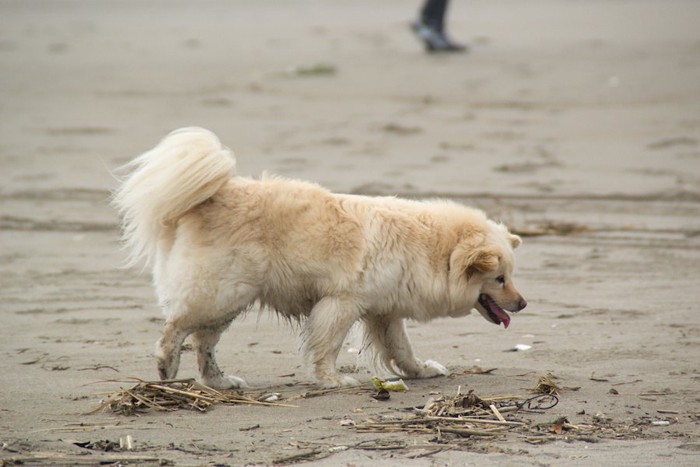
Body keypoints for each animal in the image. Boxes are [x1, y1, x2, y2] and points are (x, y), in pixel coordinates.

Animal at [113, 128, 524, 392]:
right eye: (500, 279)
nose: (522, 304)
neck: (434, 248)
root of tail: (214, 194)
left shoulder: (384, 312)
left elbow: (401, 350)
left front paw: (420, 371)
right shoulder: (341, 303)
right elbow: (326, 346)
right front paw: (333, 379)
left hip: (229, 300)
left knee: (203, 342)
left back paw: (220, 381)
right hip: (222, 294)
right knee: (177, 329)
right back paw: (166, 368)